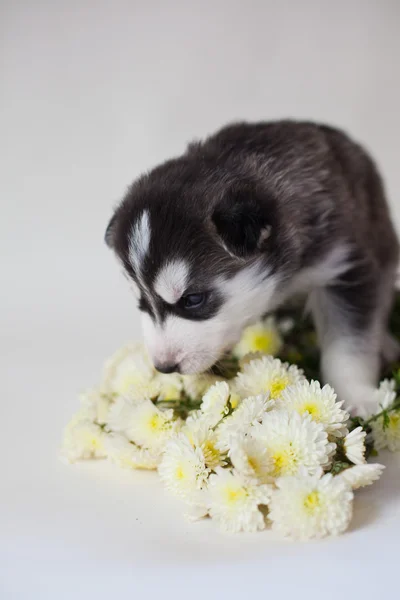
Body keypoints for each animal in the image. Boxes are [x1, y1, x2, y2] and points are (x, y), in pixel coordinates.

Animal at [105, 119, 400, 414]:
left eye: (193, 299)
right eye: (142, 302)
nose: (164, 367)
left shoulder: (345, 268)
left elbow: (349, 346)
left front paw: (357, 397)